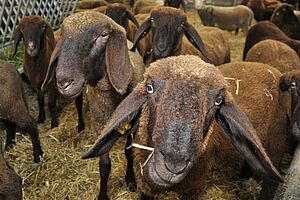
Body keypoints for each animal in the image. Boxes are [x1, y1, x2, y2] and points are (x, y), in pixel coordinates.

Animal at [41, 10, 145, 200]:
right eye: (63, 36)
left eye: (104, 35)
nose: (63, 82)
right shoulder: (99, 127)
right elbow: (104, 166)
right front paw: (102, 194)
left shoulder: (134, 127)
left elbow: (128, 153)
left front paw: (130, 180)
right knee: (79, 103)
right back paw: (80, 125)